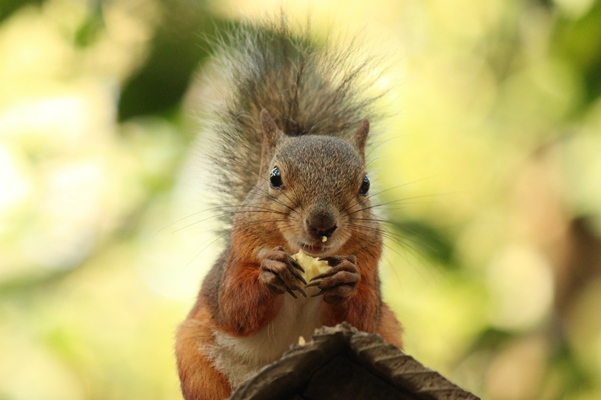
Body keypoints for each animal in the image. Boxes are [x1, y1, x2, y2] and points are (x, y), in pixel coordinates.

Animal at [176, 18, 406, 400]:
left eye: (365, 185)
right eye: (275, 177)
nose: (322, 223)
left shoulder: (371, 272)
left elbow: (364, 318)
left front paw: (346, 278)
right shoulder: (235, 260)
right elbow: (235, 307)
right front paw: (272, 270)